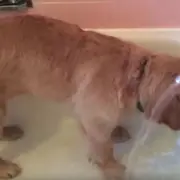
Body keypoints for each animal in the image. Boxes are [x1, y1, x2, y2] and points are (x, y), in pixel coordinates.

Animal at [0, 14, 180, 179]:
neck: (136, 74)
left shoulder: (89, 110)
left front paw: (115, 132)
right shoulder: (94, 114)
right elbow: (104, 149)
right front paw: (113, 169)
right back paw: (6, 167)